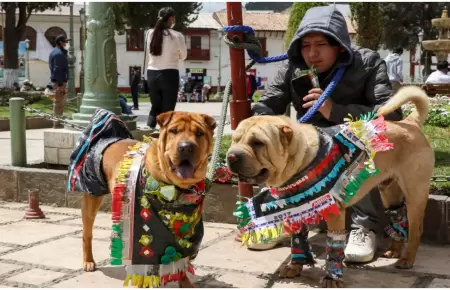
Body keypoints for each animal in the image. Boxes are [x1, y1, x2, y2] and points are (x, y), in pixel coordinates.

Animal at [81, 111, 216, 288]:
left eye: (199, 133)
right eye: (173, 131)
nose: (186, 147)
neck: (176, 189)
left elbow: (181, 258)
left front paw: (185, 282)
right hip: (92, 197)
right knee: (87, 233)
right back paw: (88, 261)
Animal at [227, 86, 434, 288]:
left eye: (258, 143)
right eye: (235, 139)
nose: (231, 156)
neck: (301, 160)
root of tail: (410, 121)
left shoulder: (334, 213)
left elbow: (334, 247)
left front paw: (332, 278)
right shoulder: (295, 210)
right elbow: (297, 242)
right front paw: (295, 266)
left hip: (415, 193)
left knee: (416, 229)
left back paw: (407, 259)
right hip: (389, 191)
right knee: (398, 216)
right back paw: (394, 251)